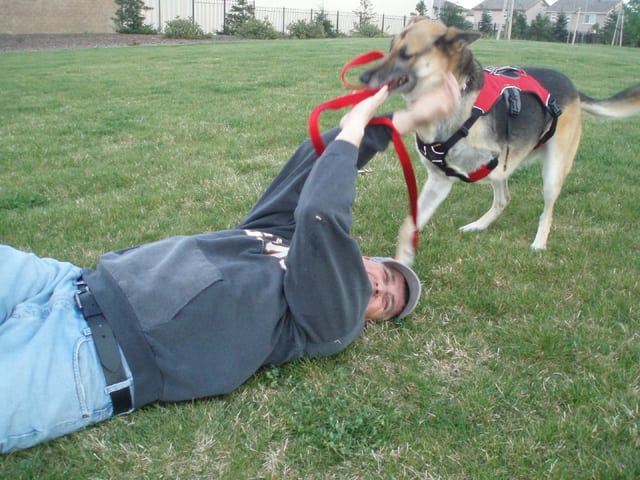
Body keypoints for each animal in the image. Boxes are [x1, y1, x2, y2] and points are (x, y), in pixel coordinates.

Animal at [360, 17, 640, 266]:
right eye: (391, 47)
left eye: (406, 54)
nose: (363, 77)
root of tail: (572, 86)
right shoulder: (439, 180)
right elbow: (410, 223)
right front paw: (404, 258)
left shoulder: (488, 157)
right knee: (503, 198)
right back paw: (478, 225)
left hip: (554, 171)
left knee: (546, 209)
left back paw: (539, 242)